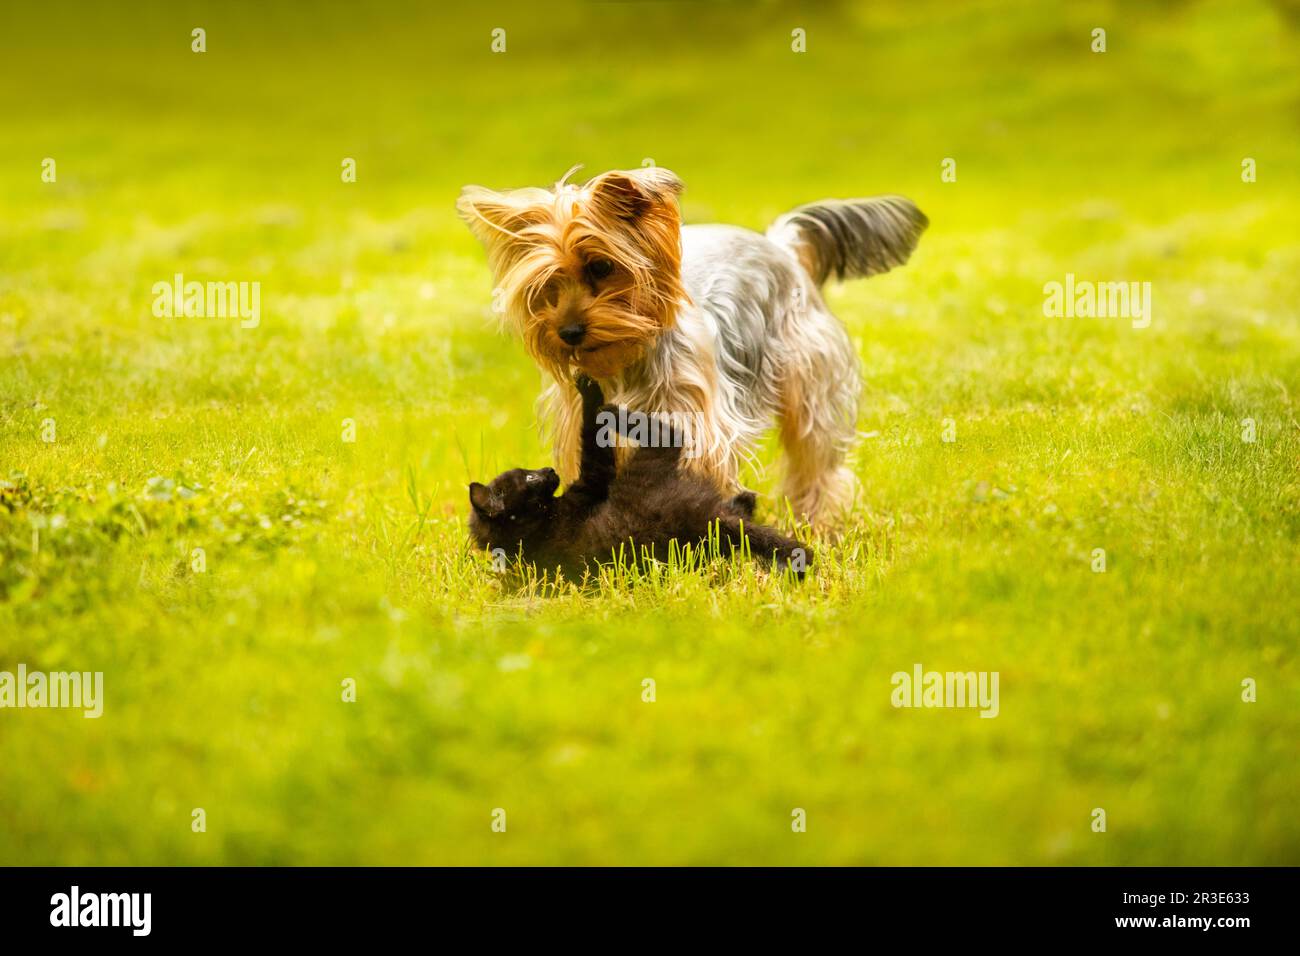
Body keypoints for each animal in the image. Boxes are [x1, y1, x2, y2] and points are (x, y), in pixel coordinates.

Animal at [457, 164, 925, 522]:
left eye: (601, 266)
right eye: (547, 286)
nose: (568, 332)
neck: (626, 355)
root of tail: (781, 245)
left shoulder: (692, 419)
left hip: (810, 375)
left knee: (817, 459)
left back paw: (819, 521)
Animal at [467, 377, 811, 580]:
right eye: (528, 479)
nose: (549, 472)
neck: (533, 532)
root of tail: (708, 520)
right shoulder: (591, 485)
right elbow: (592, 443)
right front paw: (590, 397)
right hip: (648, 467)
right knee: (669, 433)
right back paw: (604, 403)